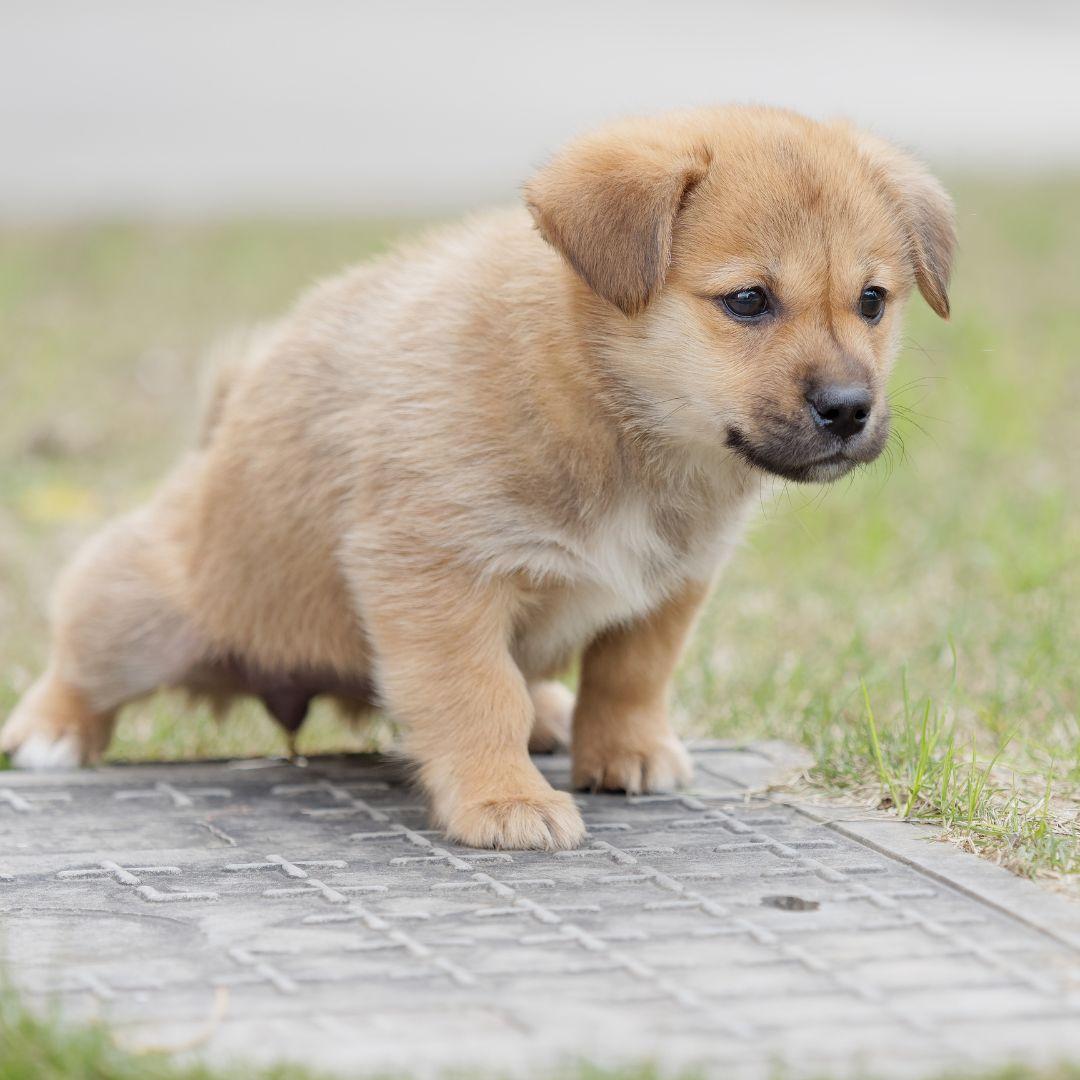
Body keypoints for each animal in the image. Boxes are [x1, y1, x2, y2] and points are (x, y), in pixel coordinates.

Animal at [4, 109, 959, 851]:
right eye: (749, 301)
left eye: (872, 301)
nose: (848, 409)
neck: (609, 413)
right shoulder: (437, 577)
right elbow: (476, 696)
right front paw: (503, 800)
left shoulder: (671, 587)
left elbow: (631, 675)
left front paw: (625, 751)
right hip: (145, 613)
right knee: (82, 655)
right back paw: (51, 732)